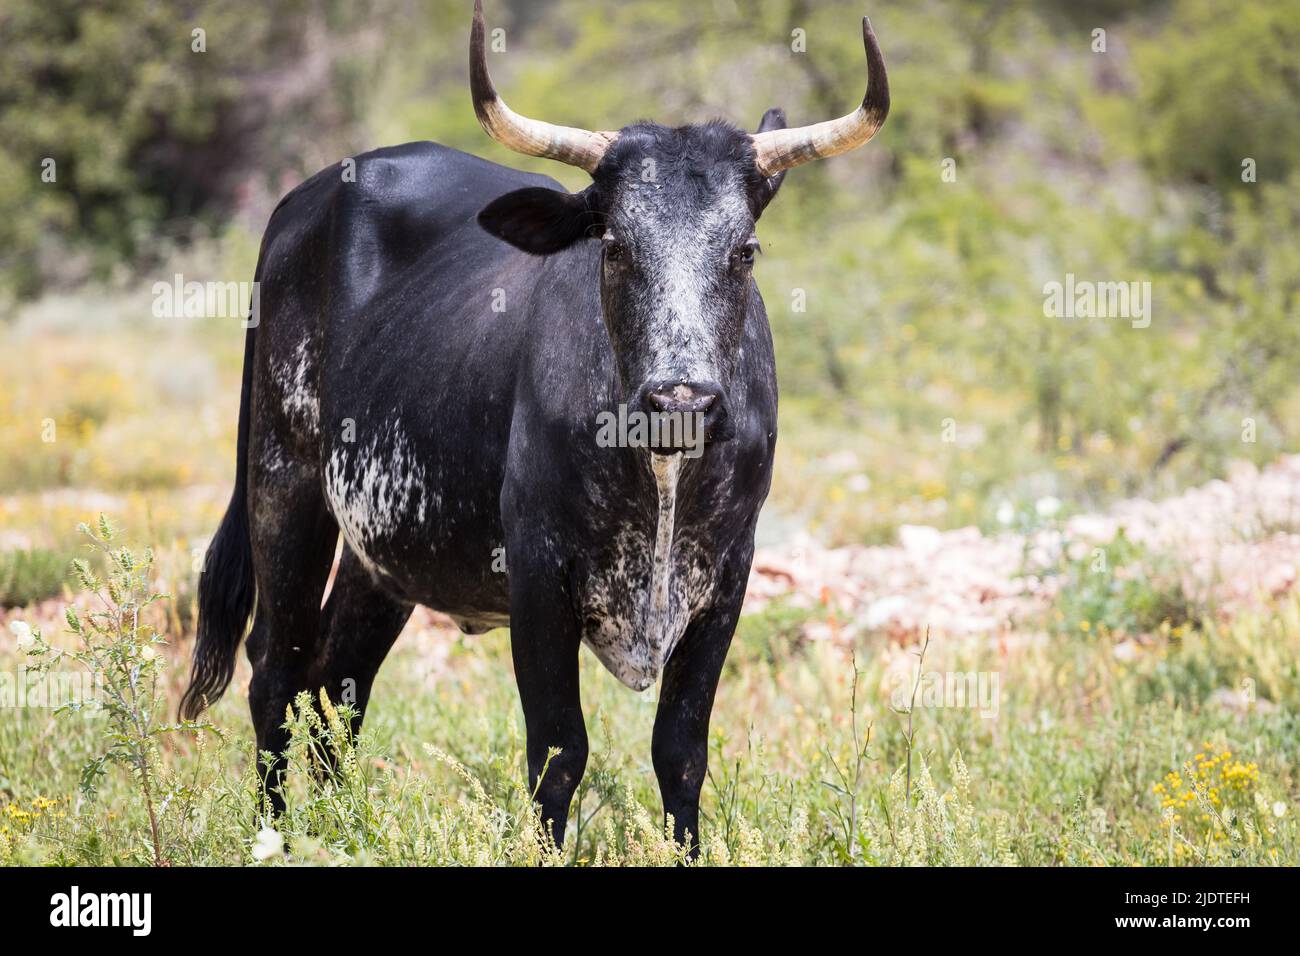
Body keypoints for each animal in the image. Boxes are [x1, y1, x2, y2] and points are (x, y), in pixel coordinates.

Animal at [183, 0, 889, 853]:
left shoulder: (727, 577)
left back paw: (339, 831)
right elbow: (558, 751)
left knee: (337, 679)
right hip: (282, 477)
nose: (681, 400)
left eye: (745, 250)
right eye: (614, 245)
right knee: (276, 670)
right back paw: (277, 836)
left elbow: (681, 751)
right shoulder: (537, 571)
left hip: (382, 542)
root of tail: (307, 198)